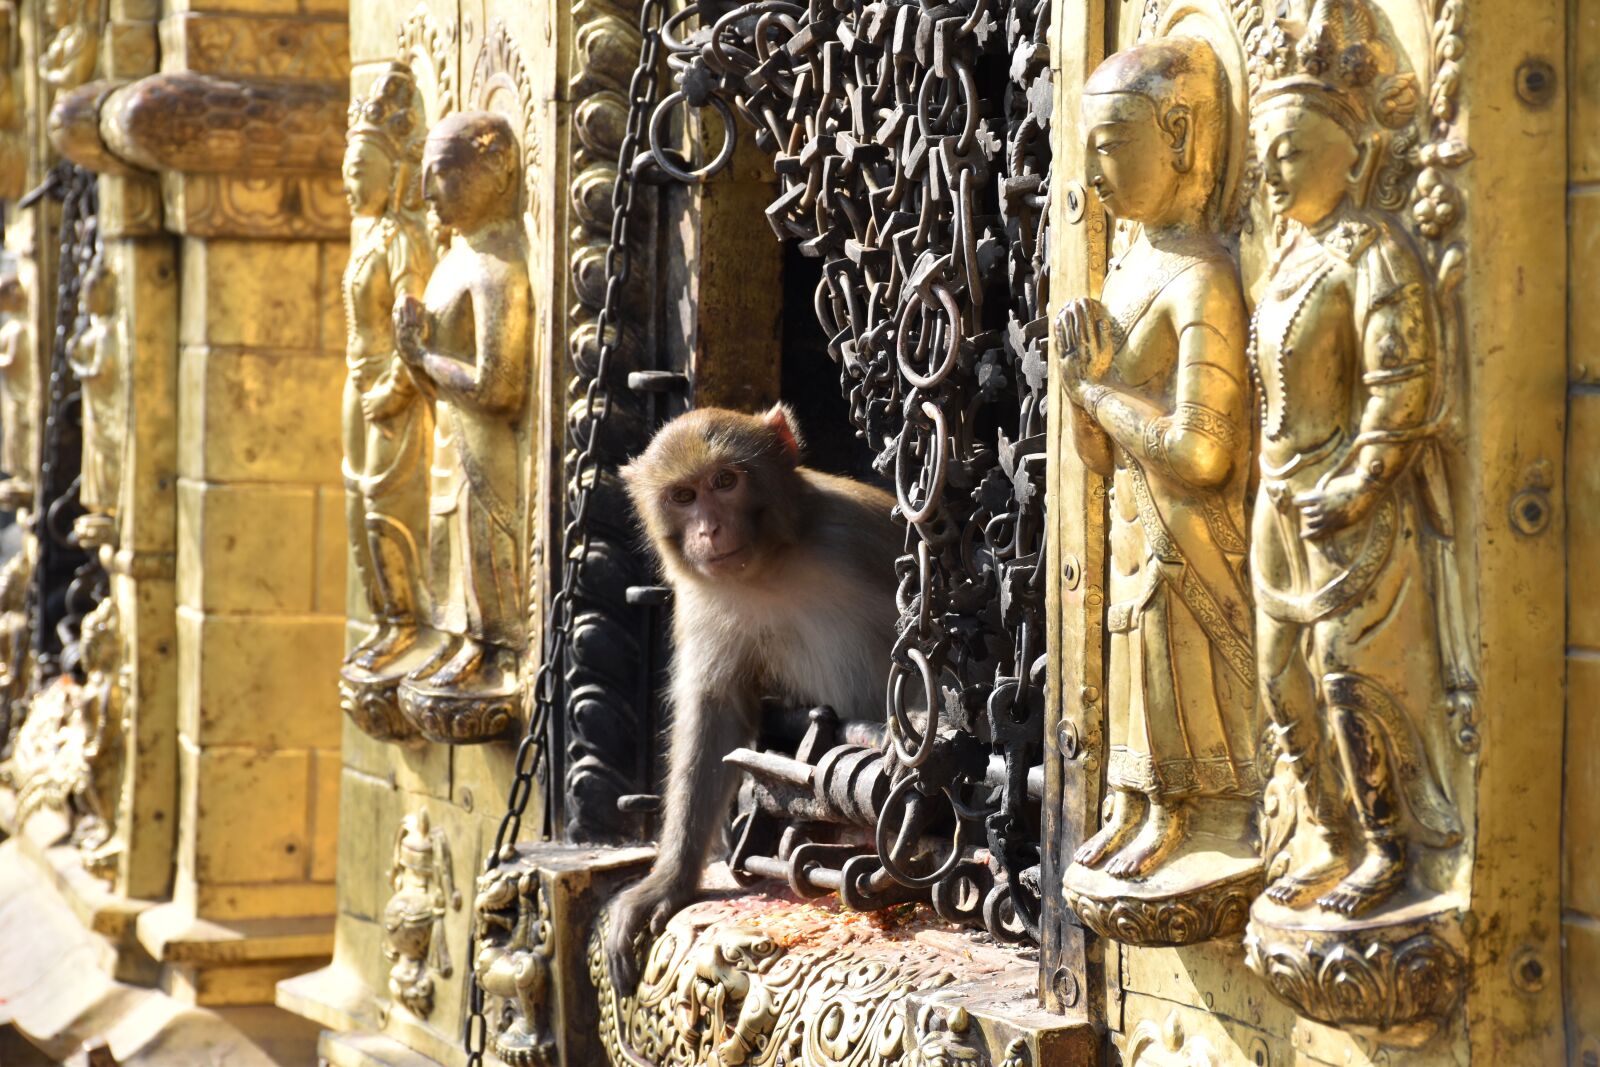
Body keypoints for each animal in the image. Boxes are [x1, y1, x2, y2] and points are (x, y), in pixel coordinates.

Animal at [604, 404, 901, 992]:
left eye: (725, 481)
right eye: (683, 495)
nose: (709, 529)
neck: (770, 567)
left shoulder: (859, 530)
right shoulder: (700, 600)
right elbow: (715, 716)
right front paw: (669, 882)